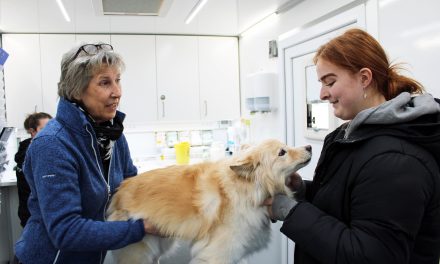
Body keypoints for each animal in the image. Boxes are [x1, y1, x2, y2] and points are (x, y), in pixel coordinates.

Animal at [108, 139, 312, 262]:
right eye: (282, 152)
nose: (309, 147)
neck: (246, 189)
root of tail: (119, 192)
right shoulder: (217, 254)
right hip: (138, 253)